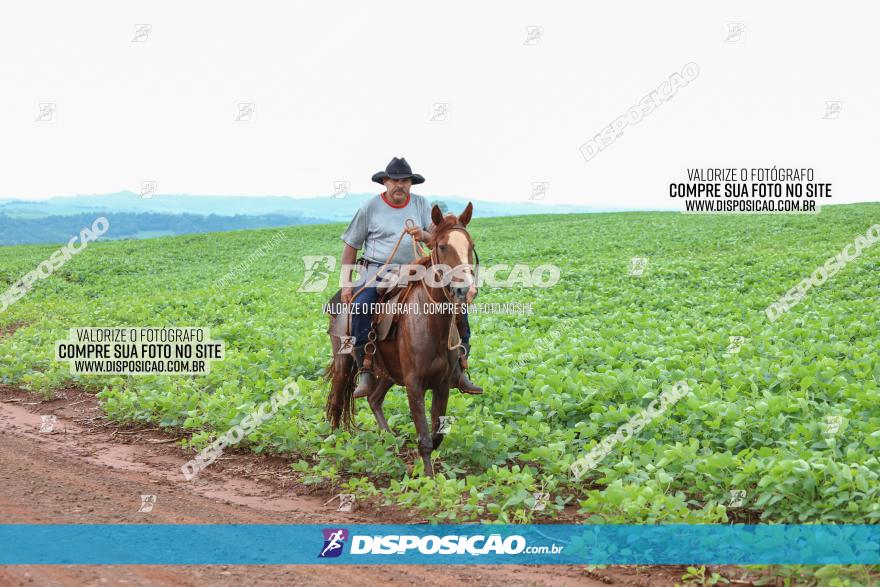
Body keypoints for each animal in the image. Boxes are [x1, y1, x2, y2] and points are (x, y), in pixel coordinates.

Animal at [324, 202, 478, 478]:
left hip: (388, 372)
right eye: (442, 246)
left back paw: (389, 440)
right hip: (343, 362)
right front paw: (429, 480)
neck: (431, 322)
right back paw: (336, 440)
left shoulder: (442, 384)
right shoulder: (414, 384)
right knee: (338, 398)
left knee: (374, 399)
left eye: (469, 246)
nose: (465, 291)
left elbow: (437, 435)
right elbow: (425, 436)